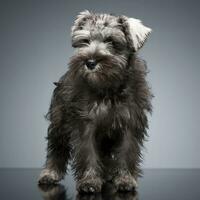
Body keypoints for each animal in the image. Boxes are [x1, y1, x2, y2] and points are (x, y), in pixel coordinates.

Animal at [38, 10, 152, 194]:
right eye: (85, 41)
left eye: (111, 41)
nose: (90, 62)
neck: (108, 87)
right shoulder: (85, 124)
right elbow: (88, 153)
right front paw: (89, 181)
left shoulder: (130, 124)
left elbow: (127, 152)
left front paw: (125, 179)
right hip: (59, 123)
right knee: (56, 148)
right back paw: (50, 173)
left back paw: (109, 175)